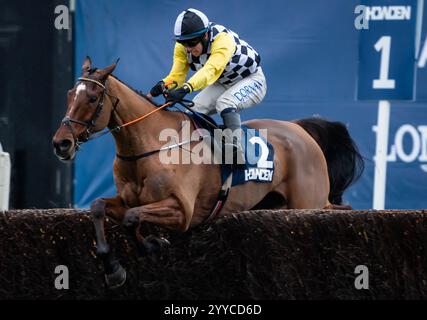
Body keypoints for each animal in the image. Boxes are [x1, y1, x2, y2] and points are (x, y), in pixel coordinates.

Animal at [51, 58, 364, 290]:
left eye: (92, 98)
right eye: (68, 95)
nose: (61, 143)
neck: (150, 146)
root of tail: (300, 129)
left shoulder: (182, 211)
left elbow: (132, 218)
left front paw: (152, 244)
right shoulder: (127, 199)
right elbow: (99, 207)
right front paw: (114, 268)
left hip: (306, 203)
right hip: (276, 204)